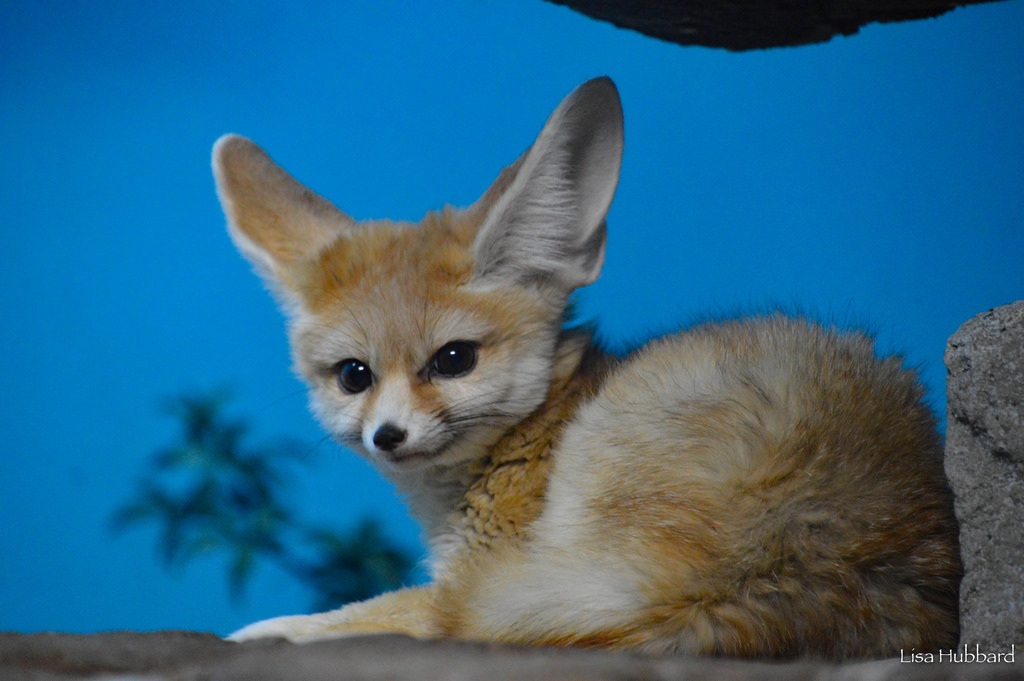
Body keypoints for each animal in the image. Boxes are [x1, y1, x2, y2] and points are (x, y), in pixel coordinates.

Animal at [212, 76, 961, 659]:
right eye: (353, 375)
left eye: (454, 359)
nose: (387, 436)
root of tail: (789, 552)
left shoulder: (483, 573)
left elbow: (407, 610)